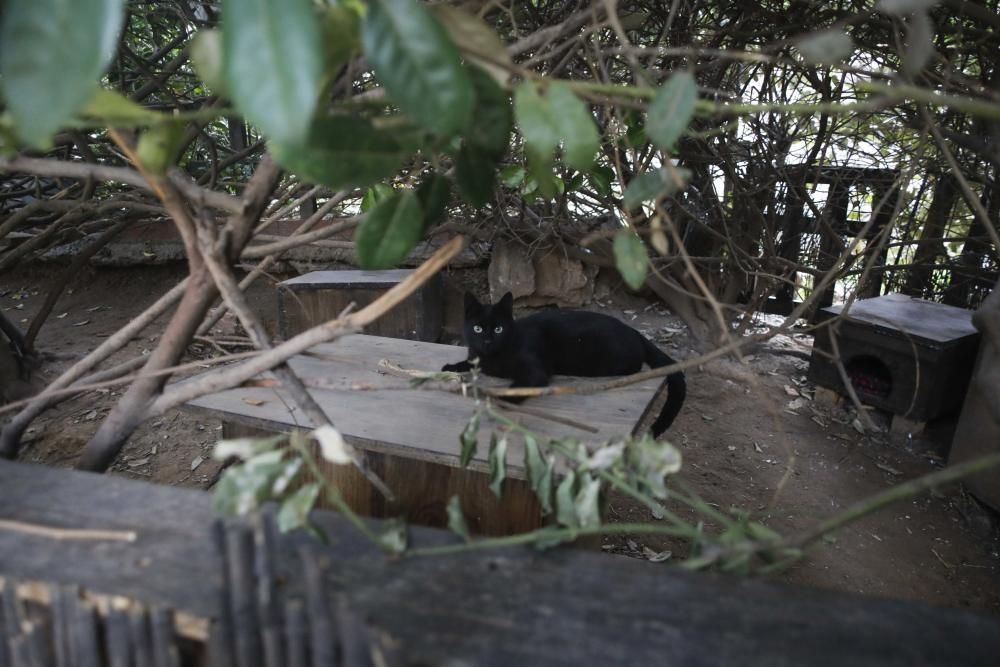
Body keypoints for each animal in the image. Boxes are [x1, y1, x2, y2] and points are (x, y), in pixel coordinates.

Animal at [446, 292, 688, 438]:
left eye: (498, 329)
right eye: (477, 329)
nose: (487, 340)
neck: (493, 357)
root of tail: (635, 332)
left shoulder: (535, 371)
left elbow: (520, 384)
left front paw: (502, 398)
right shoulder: (477, 357)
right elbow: (469, 362)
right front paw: (450, 367)